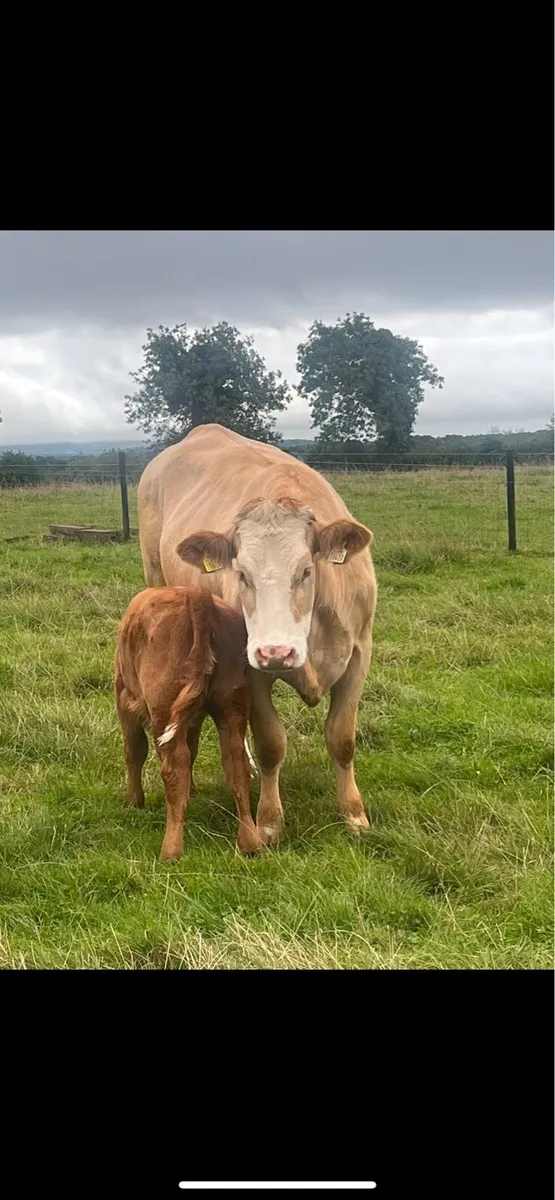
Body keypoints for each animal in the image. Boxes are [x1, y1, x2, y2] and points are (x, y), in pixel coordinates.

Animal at [114, 585, 263, 860]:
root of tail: (195, 593)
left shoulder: (124, 701)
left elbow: (134, 752)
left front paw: (134, 801)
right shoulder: (193, 718)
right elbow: (193, 750)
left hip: (164, 711)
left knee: (174, 769)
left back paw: (171, 849)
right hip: (231, 708)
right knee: (236, 765)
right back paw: (250, 841)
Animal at [137, 423, 377, 847]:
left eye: (306, 570)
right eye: (241, 573)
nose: (276, 652)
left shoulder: (358, 653)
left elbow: (342, 738)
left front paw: (353, 815)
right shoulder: (252, 667)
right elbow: (271, 743)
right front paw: (268, 822)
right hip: (157, 579)